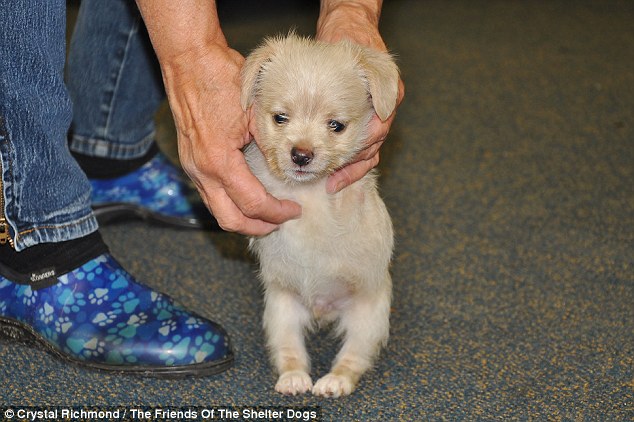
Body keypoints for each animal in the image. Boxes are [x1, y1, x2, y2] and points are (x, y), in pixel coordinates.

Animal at [239, 34, 398, 398]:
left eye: (336, 126)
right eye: (280, 118)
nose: (300, 155)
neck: (306, 191)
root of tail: (322, 310)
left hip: (368, 319)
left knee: (352, 358)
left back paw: (334, 382)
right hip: (281, 312)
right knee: (290, 352)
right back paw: (294, 379)